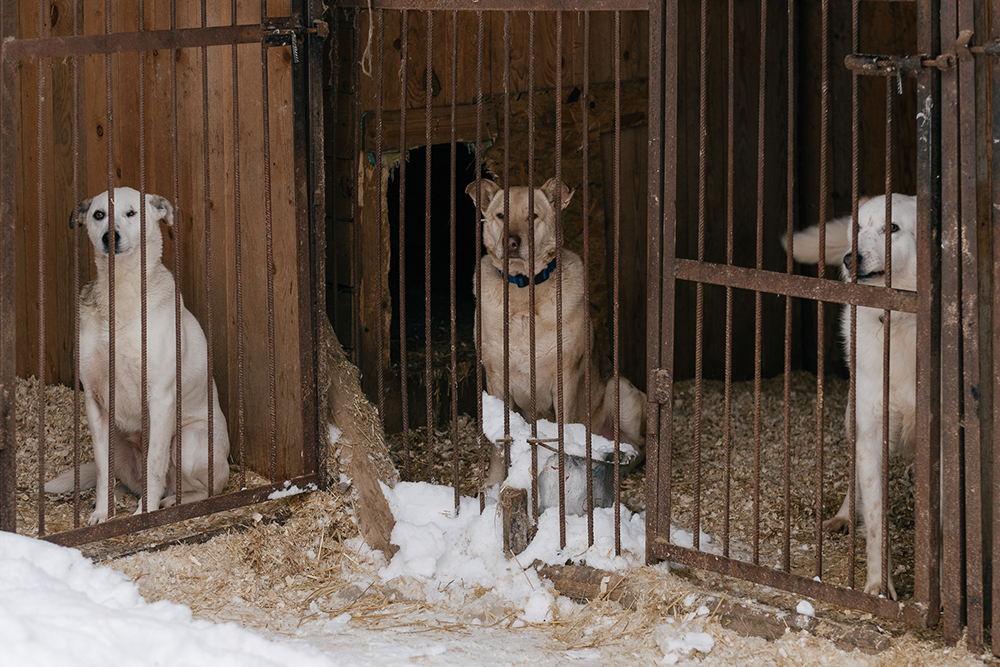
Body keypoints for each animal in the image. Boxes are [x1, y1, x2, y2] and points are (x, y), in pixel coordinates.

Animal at [46, 187, 230, 520]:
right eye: (99, 215)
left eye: (131, 213)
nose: (110, 236)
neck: (121, 293)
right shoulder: (94, 401)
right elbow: (104, 473)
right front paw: (102, 515)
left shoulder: (160, 398)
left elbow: (154, 467)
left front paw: (146, 514)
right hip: (119, 444)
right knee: (124, 480)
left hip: (190, 444)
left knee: (207, 488)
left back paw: (173, 501)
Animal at [464, 177, 644, 488]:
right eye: (501, 215)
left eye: (533, 216)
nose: (511, 242)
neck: (524, 288)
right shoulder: (496, 378)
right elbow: (500, 444)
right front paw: (496, 483)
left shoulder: (567, 378)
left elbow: (564, 432)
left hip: (622, 391)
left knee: (638, 447)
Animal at [784, 193, 916, 600]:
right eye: (857, 227)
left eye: (893, 227)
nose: (848, 258)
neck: (899, 321)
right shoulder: (871, 431)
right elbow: (875, 520)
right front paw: (877, 586)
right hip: (853, 415)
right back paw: (843, 515)